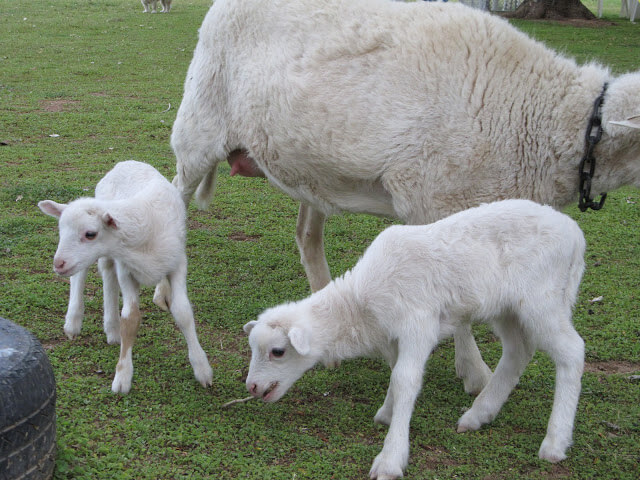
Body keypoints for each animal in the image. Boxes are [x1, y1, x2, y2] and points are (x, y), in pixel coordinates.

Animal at [37, 161, 212, 394]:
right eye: (60, 230)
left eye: (90, 234)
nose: (58, 264)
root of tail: (126, 163)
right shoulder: (126, 270)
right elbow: (130, 319)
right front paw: (122, 376)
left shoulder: (177, 264)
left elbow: (183, 312)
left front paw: (202, 368)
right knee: (81, 275)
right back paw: (74, 322)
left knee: (107, 273)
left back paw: (111, 329)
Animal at [168, 0, 636, 398]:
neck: (540, 116)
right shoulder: (433, 200)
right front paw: (475, 374)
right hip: (197, 129)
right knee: (176, 197)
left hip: (309, 168)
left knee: (307, 237)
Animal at [242, 199, 588, 480]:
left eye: (277, 351)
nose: (253, 387)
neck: (360, 304)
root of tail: (575, 235)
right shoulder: (394, 336)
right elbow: (395, 375)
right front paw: (387, 412)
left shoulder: (418, 324)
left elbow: (405, 379)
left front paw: (391, 457)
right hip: (508, 308)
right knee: (518, 351)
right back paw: (478, 414)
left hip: (541, 299)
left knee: (571, 351)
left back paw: (555, 441)